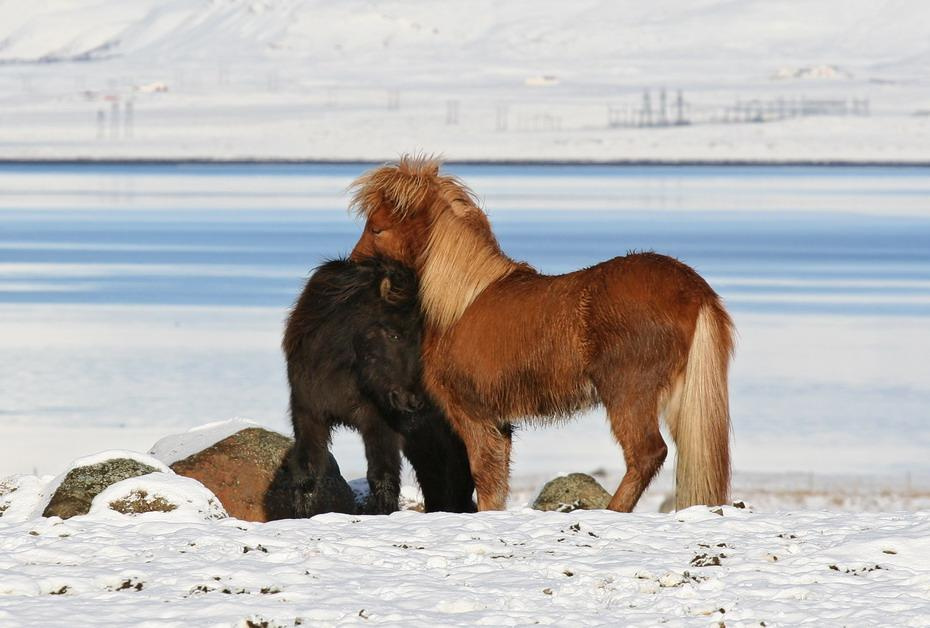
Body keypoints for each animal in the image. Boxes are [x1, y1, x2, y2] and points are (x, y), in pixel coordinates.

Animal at [283, 256, 476, 516]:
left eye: (423, 338)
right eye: (393, 334)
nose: (415, 399)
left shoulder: (379, 423)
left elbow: (382, 476)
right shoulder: (308, 413)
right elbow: (306, 473)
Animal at [349, 156, 734, 512]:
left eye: (378, 229)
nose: (352, 265)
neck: (459, 303)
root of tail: (693, 289)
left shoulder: (473, 414)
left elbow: (484, 478)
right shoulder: (500, 423)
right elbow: (496, 483)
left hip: (628, 393)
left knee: (646, 454)